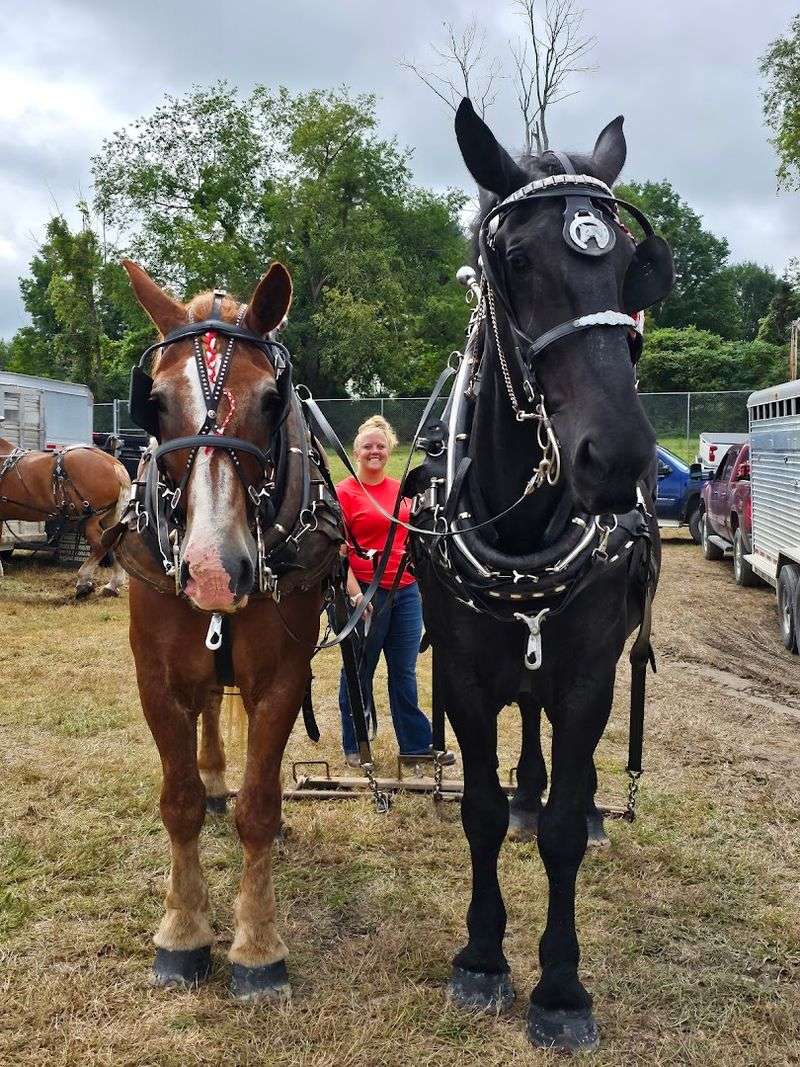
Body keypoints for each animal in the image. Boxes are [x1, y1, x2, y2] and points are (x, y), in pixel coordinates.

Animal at [0, 435, 130, 596]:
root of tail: (113, 463)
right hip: (109, 516)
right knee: (115, 542)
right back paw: (112, 585)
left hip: (89, 519)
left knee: (100, 545)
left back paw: (83, 582)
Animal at [113, 260, 342, 999]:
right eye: (154, 403)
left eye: (272, 401)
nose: (215, 571)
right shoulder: (155, 678)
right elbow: (179, 800)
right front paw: (183, 930)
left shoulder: (282, 680)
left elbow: (261, 809)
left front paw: (258, 944)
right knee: (210, 710)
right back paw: (217, 778)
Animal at [406, 99, 675, 1052]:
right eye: (516, 261)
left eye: (633, 271)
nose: (621, 456)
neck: (521, 529)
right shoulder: (461, 671)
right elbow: (481, 810)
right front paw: (484, 957)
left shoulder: (590, 675)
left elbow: (561, 824)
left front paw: (560, 986)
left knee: (574, 774)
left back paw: (586, 806)